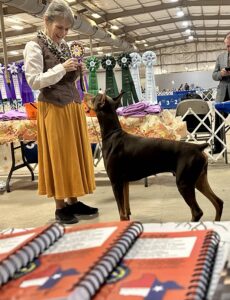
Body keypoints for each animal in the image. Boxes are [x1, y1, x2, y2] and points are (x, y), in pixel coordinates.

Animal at [86, 91, 223, 220]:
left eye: (94, 98)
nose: (85, 95)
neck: (112, 135)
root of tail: (197, 147)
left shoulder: (115, 182)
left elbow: (122, 214)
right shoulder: (124, 182)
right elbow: (126, 212)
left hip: (184, 183)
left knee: (197, 212)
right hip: (199, 180)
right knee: (218, 202)